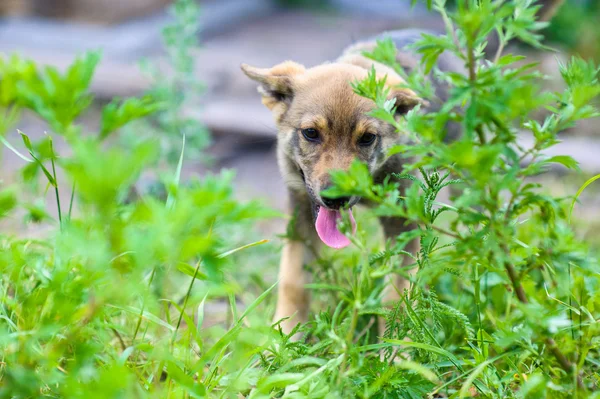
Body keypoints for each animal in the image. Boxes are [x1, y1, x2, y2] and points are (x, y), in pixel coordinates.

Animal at [241, 29, 462, 334]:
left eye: (367, 138)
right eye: (310, 133)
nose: (336, 198)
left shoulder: (404, 224)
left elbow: (398, 297)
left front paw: (397, 346)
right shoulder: (300, 212)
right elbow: (293, 281)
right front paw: (285, 337)